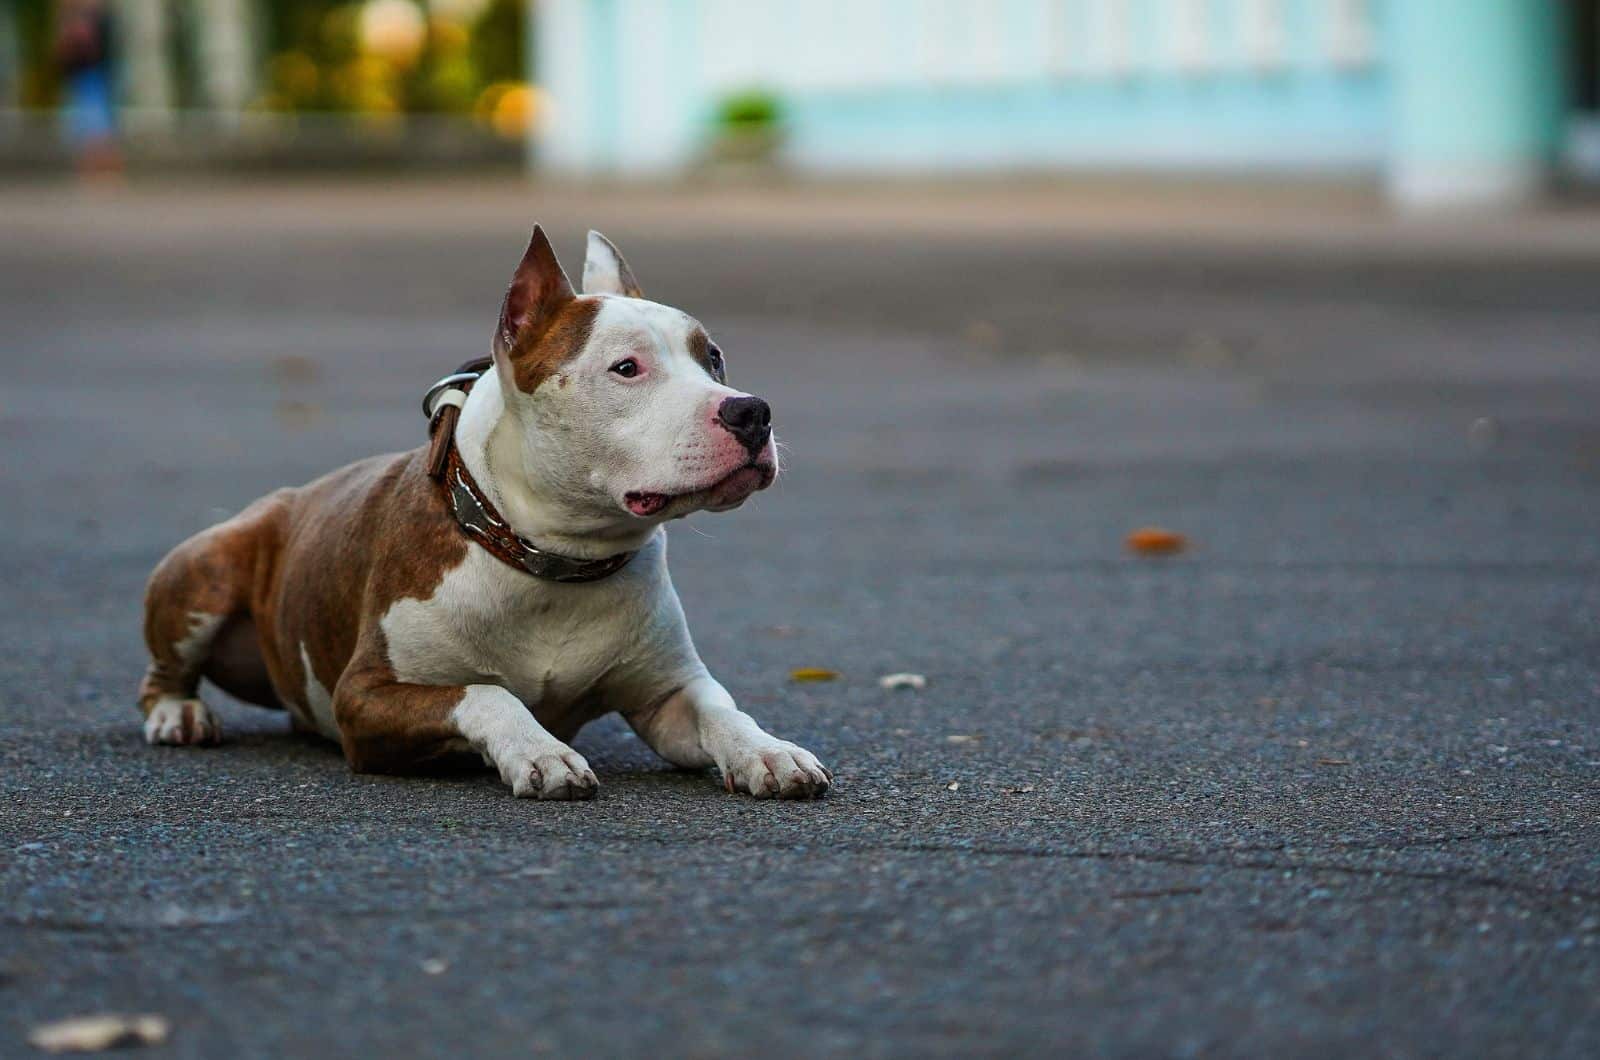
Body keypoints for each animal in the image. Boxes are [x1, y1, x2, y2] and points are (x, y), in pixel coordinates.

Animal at [136, 228, 832, 800]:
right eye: (626, 367)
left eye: (712, 358)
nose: (751, 410)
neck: (553, 561)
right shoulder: (364, 699)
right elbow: (488, 692)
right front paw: (543, 753)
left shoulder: (669, 694)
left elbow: (721, 709)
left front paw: (769, 752)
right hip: (206, 569)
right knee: (163, 673)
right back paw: (179, 714)